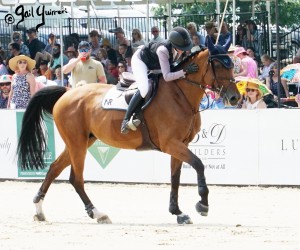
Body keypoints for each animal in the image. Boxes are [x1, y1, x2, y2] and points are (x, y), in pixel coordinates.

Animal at [18, 38, 239, 226]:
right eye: (220, 65)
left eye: (233, 65)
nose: (235, 98)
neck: (180, 95)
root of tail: (67, 92)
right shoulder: (171, 143)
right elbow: (199, 164)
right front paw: (203, 205)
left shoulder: (180, 144)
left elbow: (175, 178)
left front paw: (177, 212)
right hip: (77, 143)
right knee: (76, 178)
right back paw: (97, 213)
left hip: (82, 141)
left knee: (55, 169)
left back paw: (40, 211)